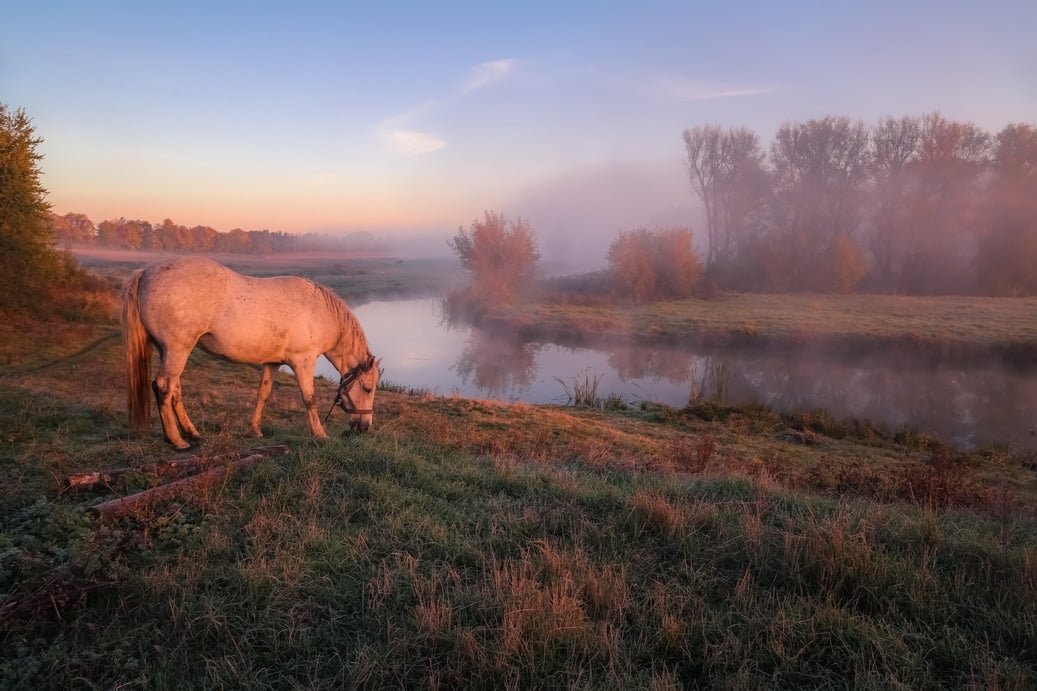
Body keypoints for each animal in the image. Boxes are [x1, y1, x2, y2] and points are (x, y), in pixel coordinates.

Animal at [122, 255, 381, 450]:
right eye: (367, 389)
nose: (364, 427)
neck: (317, 311)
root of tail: (146, 272)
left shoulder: (272, 362)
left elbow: (263, 394)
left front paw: (255, 429)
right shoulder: (303, 362)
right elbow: (310, 399)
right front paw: (319, 434)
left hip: (168, 350)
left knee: (175, 389)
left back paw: (192, 433)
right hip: (177, 349)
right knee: (164, 387)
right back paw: (176, 440)